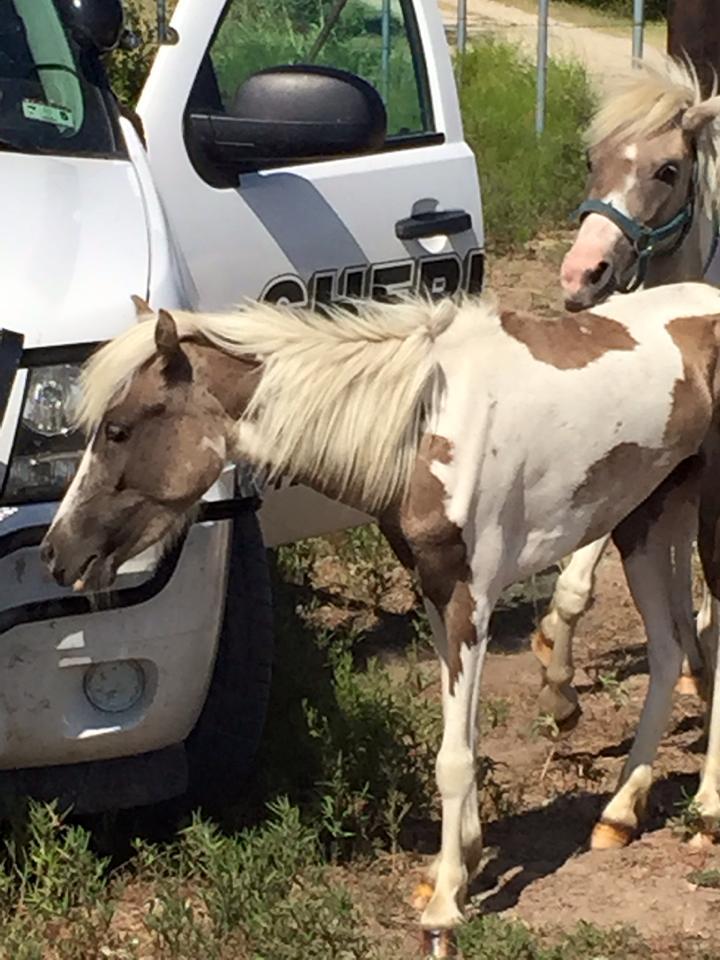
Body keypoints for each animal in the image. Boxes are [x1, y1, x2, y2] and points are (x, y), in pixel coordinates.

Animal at [42, 284, 720, 944]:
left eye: (118, 429)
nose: (56, 551)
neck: (429, 423)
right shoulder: (436, 593)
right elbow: (463, 737)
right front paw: (460, 863)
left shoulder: (470, 598)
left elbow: (453, 757)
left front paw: (445, 905)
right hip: (645, 519)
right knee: (670, 655)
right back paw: (619, 814)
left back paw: (706, 813)